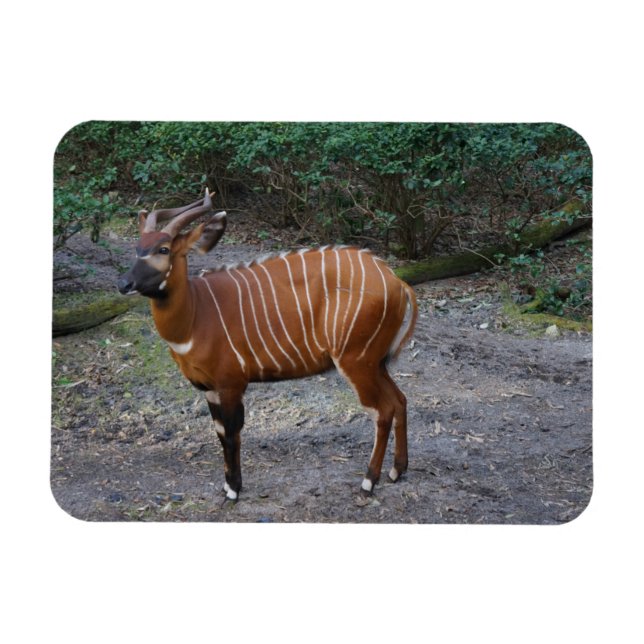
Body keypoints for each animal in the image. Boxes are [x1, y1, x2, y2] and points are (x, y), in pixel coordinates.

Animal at [117, 189, 418, 501]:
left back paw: (369, 481)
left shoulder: (231, 384)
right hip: (375, 363)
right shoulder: (210, 389)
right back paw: (397, 471)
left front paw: (233, 490)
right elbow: (220, 432)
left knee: (382, 410)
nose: (124, 283)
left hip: (357, 361)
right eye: (137, 248)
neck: (196, 314)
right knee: (400, 400)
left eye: (163, 249)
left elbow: (232, 434)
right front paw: (227, 485)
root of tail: (397, 282)